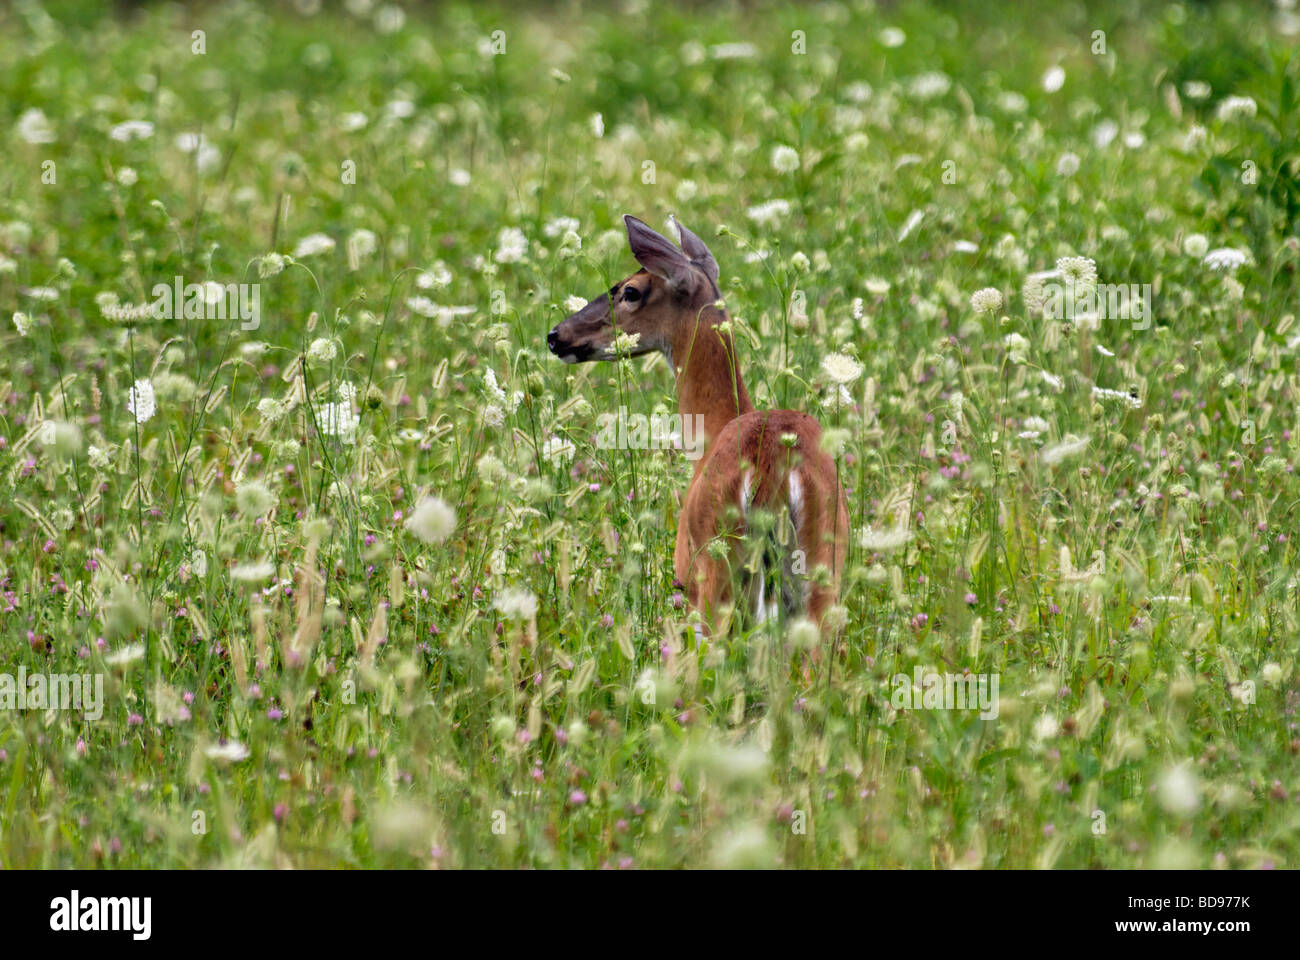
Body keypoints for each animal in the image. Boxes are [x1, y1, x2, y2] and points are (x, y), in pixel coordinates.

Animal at [547, 215, 850, 642]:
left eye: (630, 291)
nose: (556, 336)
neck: (714, 428)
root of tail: (772, 467)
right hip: (825, 566)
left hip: (716, 570)